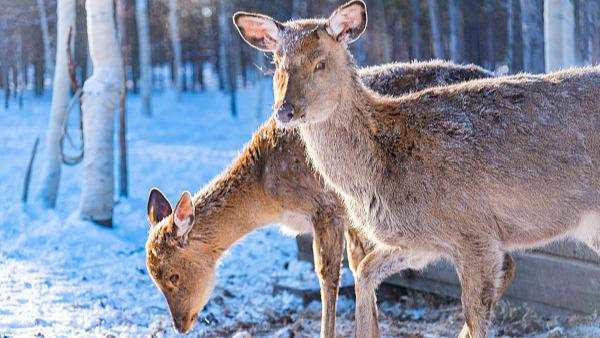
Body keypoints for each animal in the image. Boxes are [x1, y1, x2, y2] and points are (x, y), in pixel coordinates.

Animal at [146, 60, 496, 336]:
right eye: (154, 279)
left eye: (173, 275)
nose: (180, 324)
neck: (269, 192)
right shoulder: (356, 219)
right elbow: (359, 265)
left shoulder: (326, 206)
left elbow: (328, 275)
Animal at [232, 1, 600, 336]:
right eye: (276, 64)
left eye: (320, 62)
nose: (285, 110)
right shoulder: (419, 242)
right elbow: (364, 272)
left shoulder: (476, 232)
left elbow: (476, 315)